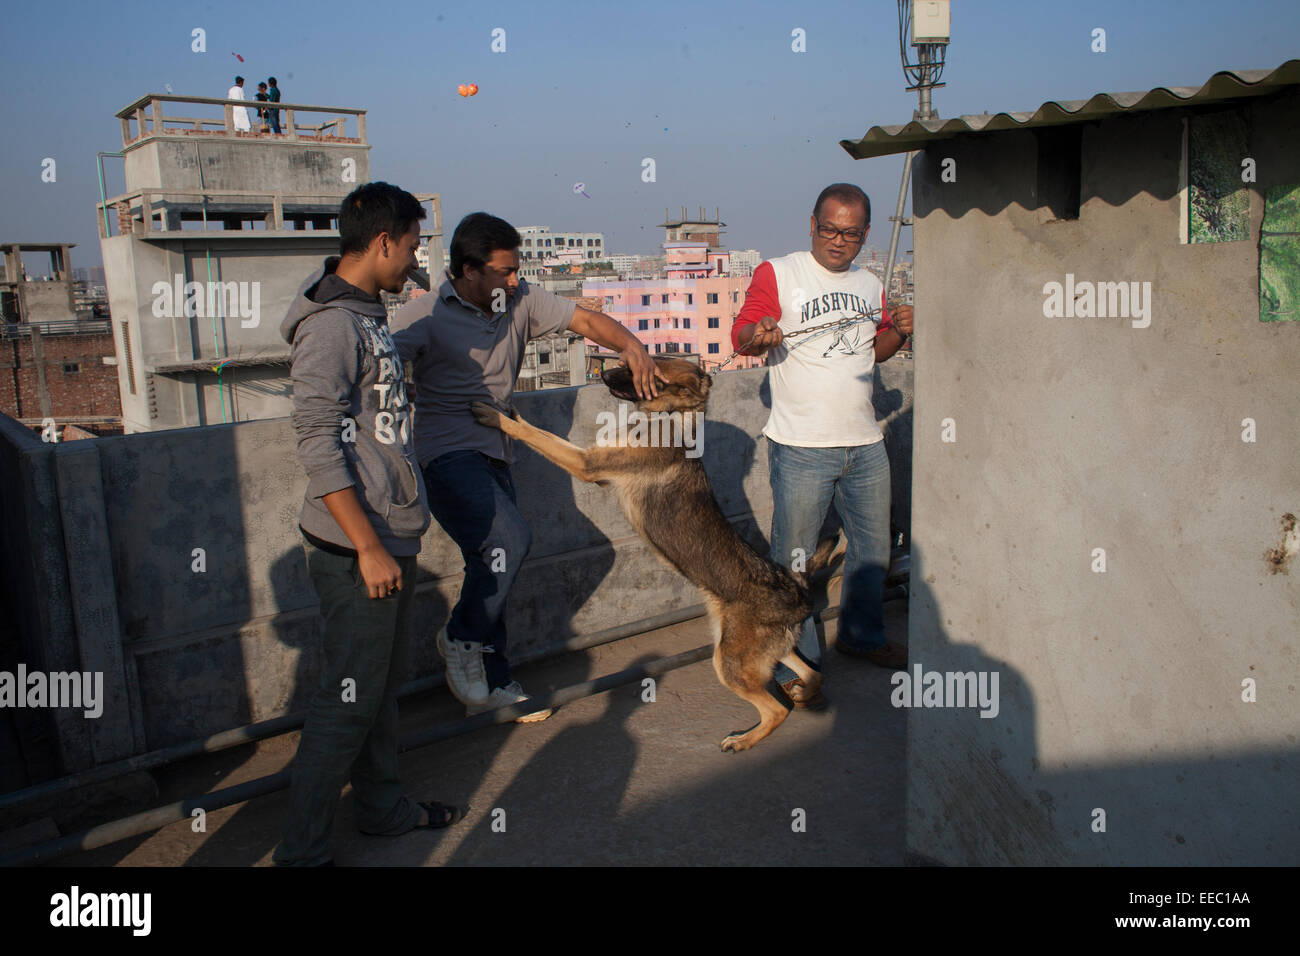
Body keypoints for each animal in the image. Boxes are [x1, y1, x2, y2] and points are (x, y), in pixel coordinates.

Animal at [473, 356, 837, 749]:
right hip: (764, 650)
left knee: (777, 710)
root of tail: (794, 594)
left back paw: (744, 739)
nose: (602, 373)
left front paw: (495, 418)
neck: (671, 418)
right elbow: (538, 432)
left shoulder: (587, 465)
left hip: (729, 663)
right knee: (812, 672)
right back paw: (803, 692)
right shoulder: (593, 461)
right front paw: (508, 411)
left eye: (648, 375)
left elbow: (537, 436)